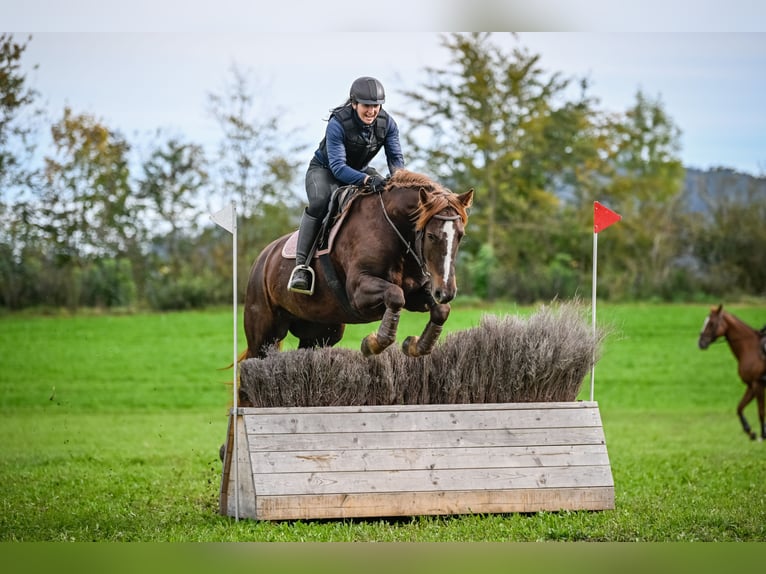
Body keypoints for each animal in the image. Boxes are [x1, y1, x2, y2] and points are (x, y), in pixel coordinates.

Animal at [243, 171, 476, 366]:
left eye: (460, 235)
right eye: (431, 236)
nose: (445, 292)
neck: (393, 230)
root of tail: (262, 258)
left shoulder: (416, 294)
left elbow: (441, 310)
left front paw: (415, 345)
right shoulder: (359, 292)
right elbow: (395, 295)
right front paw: (372, 344)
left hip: (320, 332)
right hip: (264, 332)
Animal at [704, 306, 766, 440]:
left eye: (712, 323)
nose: (701, 342)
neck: (750, 349)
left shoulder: (758, 384)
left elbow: (761, 411)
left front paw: (763, 434)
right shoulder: (751, 385)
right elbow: (739, 407)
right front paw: (750, 431)